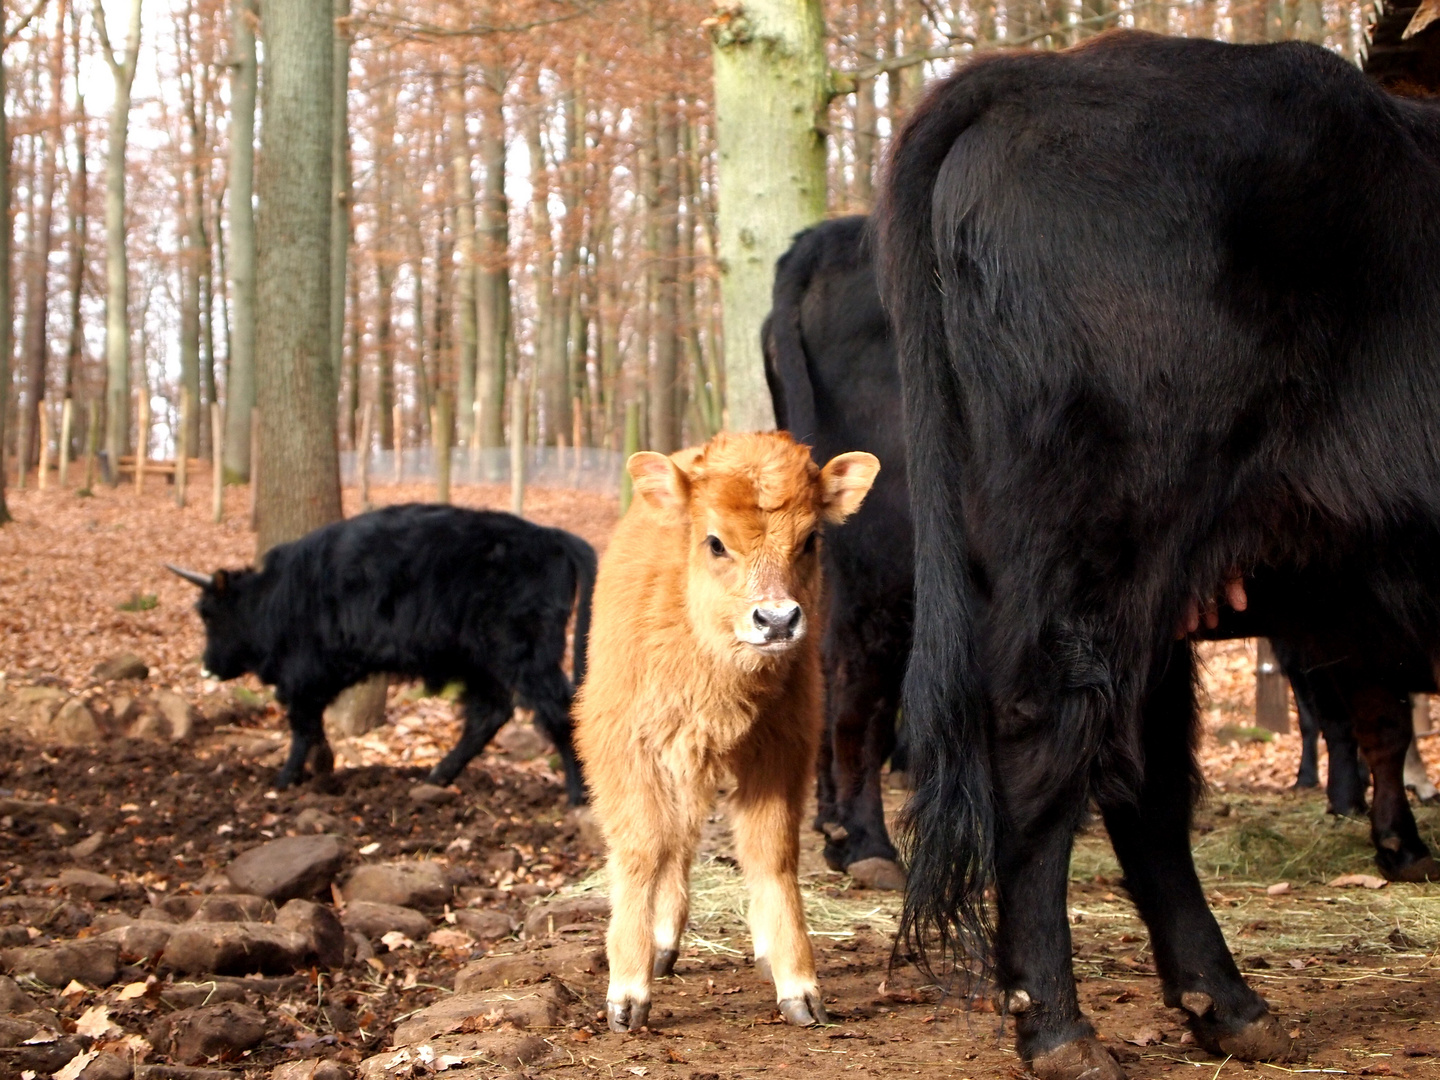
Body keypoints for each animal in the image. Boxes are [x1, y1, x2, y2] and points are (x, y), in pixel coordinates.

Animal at [169, 506, 596, 806]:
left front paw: (287, 778)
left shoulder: (303, 673)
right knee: (489, 714)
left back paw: (578, 796)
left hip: (524, 654)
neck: (275, 596)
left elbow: (302, 725)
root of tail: (548, 536)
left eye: (208, 613)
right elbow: (313, 727)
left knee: (558, 710)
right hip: (477, 659)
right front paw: (322, 768)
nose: (207, 667)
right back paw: (438, 775)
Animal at [573, 434, 875, 1036]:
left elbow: (773, 855)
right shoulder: (625, 750)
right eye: (715, 542)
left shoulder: (782, 753)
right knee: (675, 840)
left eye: (810, 539)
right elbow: (643, 849)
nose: (777, 620)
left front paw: (799, 986)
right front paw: (627, 993)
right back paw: (661, 947)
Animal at [875, 29, 1440, 1077]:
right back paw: (1060, 1027)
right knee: (1050, 745)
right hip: (1104, 545)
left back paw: (1231, 1006)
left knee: (1143, 775)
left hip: (1151, 591)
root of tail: (1045, 71)